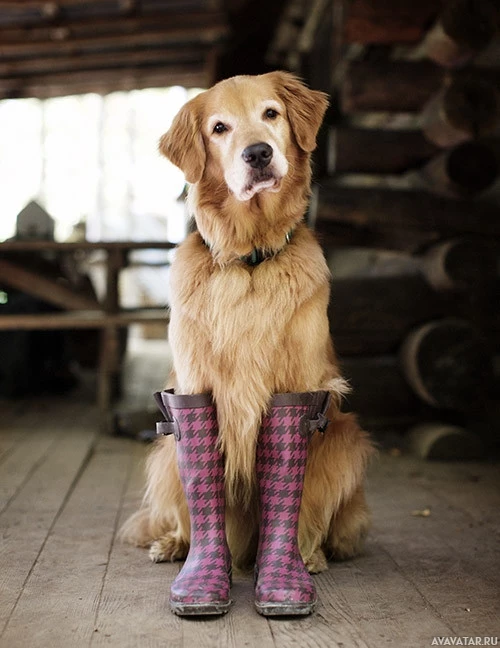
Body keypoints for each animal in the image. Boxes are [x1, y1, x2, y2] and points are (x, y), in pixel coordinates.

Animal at [120, 71, 372, 576]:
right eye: (219, 128)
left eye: (270, 114)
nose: (258, 153)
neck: (249, 260)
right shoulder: (196, 384)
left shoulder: (301, 390)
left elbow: (300, 496)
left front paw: (295, 560)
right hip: (164, 454)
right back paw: (176, 545)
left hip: (347, 441)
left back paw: (315, 551)